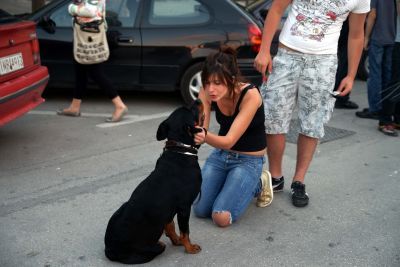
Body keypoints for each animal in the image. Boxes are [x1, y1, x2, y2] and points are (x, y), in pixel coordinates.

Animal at [104, 100, 203, 266]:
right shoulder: (184, 207)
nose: (198, 100)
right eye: (190, 110)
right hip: (153, 248)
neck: (179, 151)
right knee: (158, 247)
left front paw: (176, 240)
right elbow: (185, 232)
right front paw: (189, 248)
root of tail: (109, 250)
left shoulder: (170, 209)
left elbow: (170, 224)